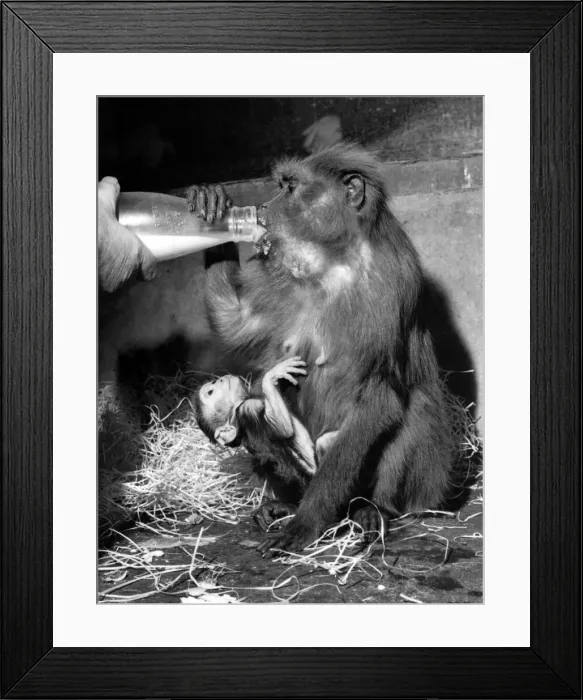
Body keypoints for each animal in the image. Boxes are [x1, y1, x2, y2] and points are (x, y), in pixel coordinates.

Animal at [195, 356, 338, 531]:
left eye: (213, 387)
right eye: (210, 392)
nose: (219, 379)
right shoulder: (249, 407)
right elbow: (284, 428)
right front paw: (270, 378)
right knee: (325, 443)